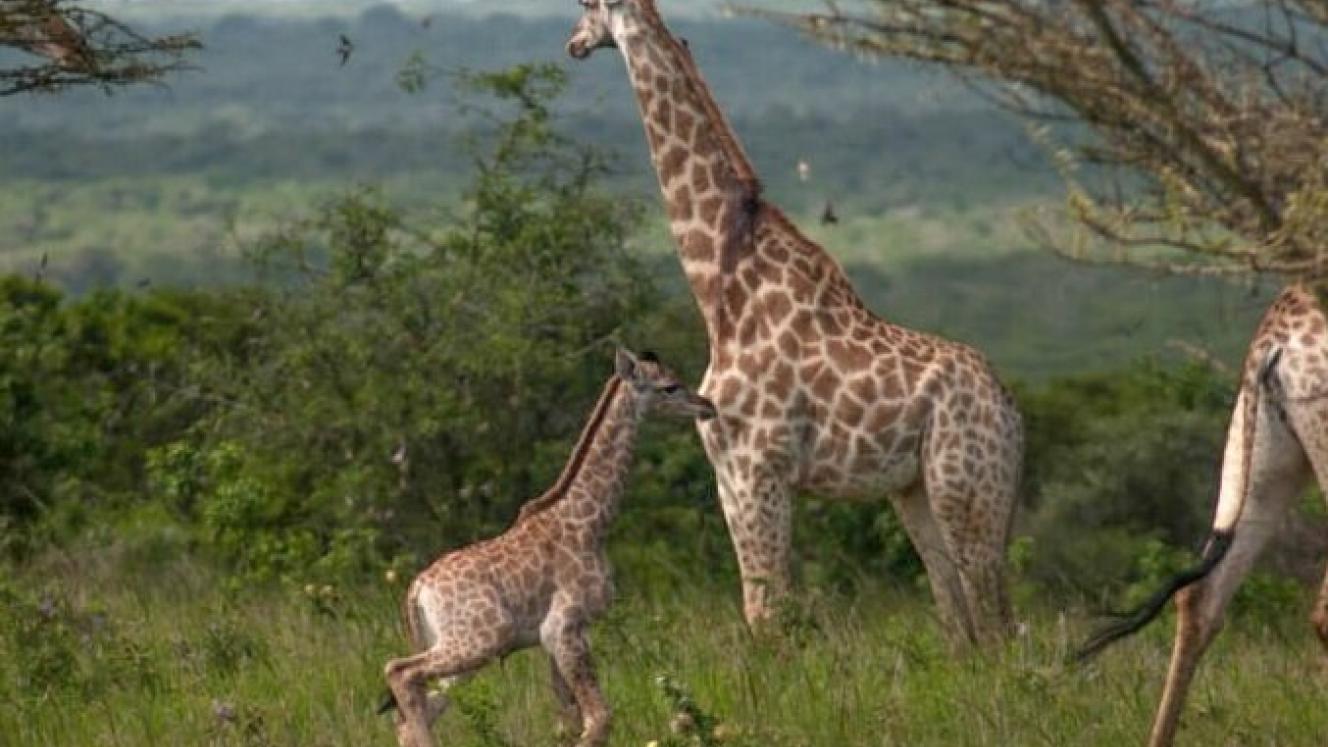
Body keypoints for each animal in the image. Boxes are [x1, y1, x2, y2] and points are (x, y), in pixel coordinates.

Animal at [381, 348, 716, 747]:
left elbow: (569, 723)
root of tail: (416, 590)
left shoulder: (555, 637)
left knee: (412, 713)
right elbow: (599, 719)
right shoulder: (563, 626)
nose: (708, 405)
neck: (591, 522)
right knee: (399, 672)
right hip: (485, 637)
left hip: (458, 647)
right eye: (669, 386)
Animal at [566, 0, 1023, 646]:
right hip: (916, 491)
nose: (573, 44)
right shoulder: (739, 474)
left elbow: (766, 612)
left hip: (967, 489)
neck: (721, 282)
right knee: (961, 620)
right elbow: (768, 606)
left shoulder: (754, 469)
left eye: (586, 8)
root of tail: (1010, 410)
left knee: (996, 622)